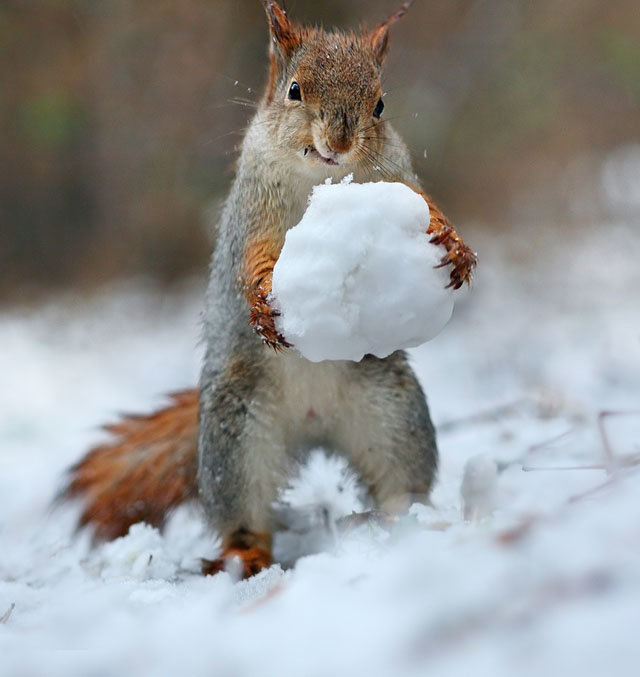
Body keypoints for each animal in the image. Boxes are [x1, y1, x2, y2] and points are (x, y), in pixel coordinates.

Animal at [63, 0, 476, 579]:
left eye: (380, 104)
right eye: (295, 90)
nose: (339, 144)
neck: (320, 180)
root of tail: (313, 421)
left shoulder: (403, 181)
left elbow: (431, 209)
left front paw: (457, 248)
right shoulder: (252, 214)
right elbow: (254, 261)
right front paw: (262, 302)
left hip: (394, 418)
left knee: (401, 481)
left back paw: (408, 524)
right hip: (235, 442)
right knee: (244, 514)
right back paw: (247, 554)